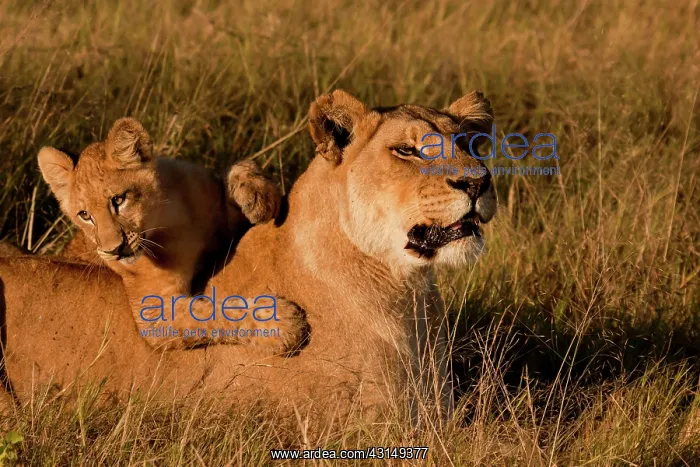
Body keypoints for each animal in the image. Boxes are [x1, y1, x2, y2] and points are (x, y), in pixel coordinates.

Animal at [37, 118, 307, 354]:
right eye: (84, 215)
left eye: (119, 200)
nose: (114, 250)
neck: (170, 221)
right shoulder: (154, 312)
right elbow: (209, 315)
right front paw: (279, 323)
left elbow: (239, 165)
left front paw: (259, 196)